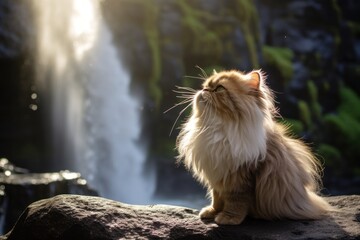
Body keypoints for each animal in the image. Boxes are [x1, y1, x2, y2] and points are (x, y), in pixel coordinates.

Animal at [175, 69, 332, 225]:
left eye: (219, 88)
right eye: (205, 86)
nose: (204, 90)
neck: (216, 128)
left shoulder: (241, 178)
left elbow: (235, 202)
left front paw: (228, 218)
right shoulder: (218, 173)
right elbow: (217, 199)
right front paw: (211, 212)